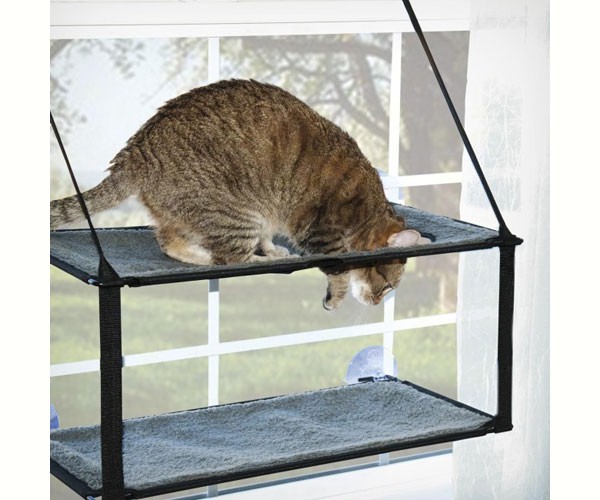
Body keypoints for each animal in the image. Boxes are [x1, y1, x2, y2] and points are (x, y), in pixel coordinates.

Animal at [51, 79, 429, 309]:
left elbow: (267, 238)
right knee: (232, 258)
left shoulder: (273, 218)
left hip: (198, 211)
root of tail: (136, 153)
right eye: (388, 286)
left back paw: (207, 255)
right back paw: (259, 260)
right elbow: (338, 274)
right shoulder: (322, 234)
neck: (368, 211)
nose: (378, 302)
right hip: (237, 212)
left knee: (172, 241)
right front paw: (335, 298)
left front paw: (273, 248)